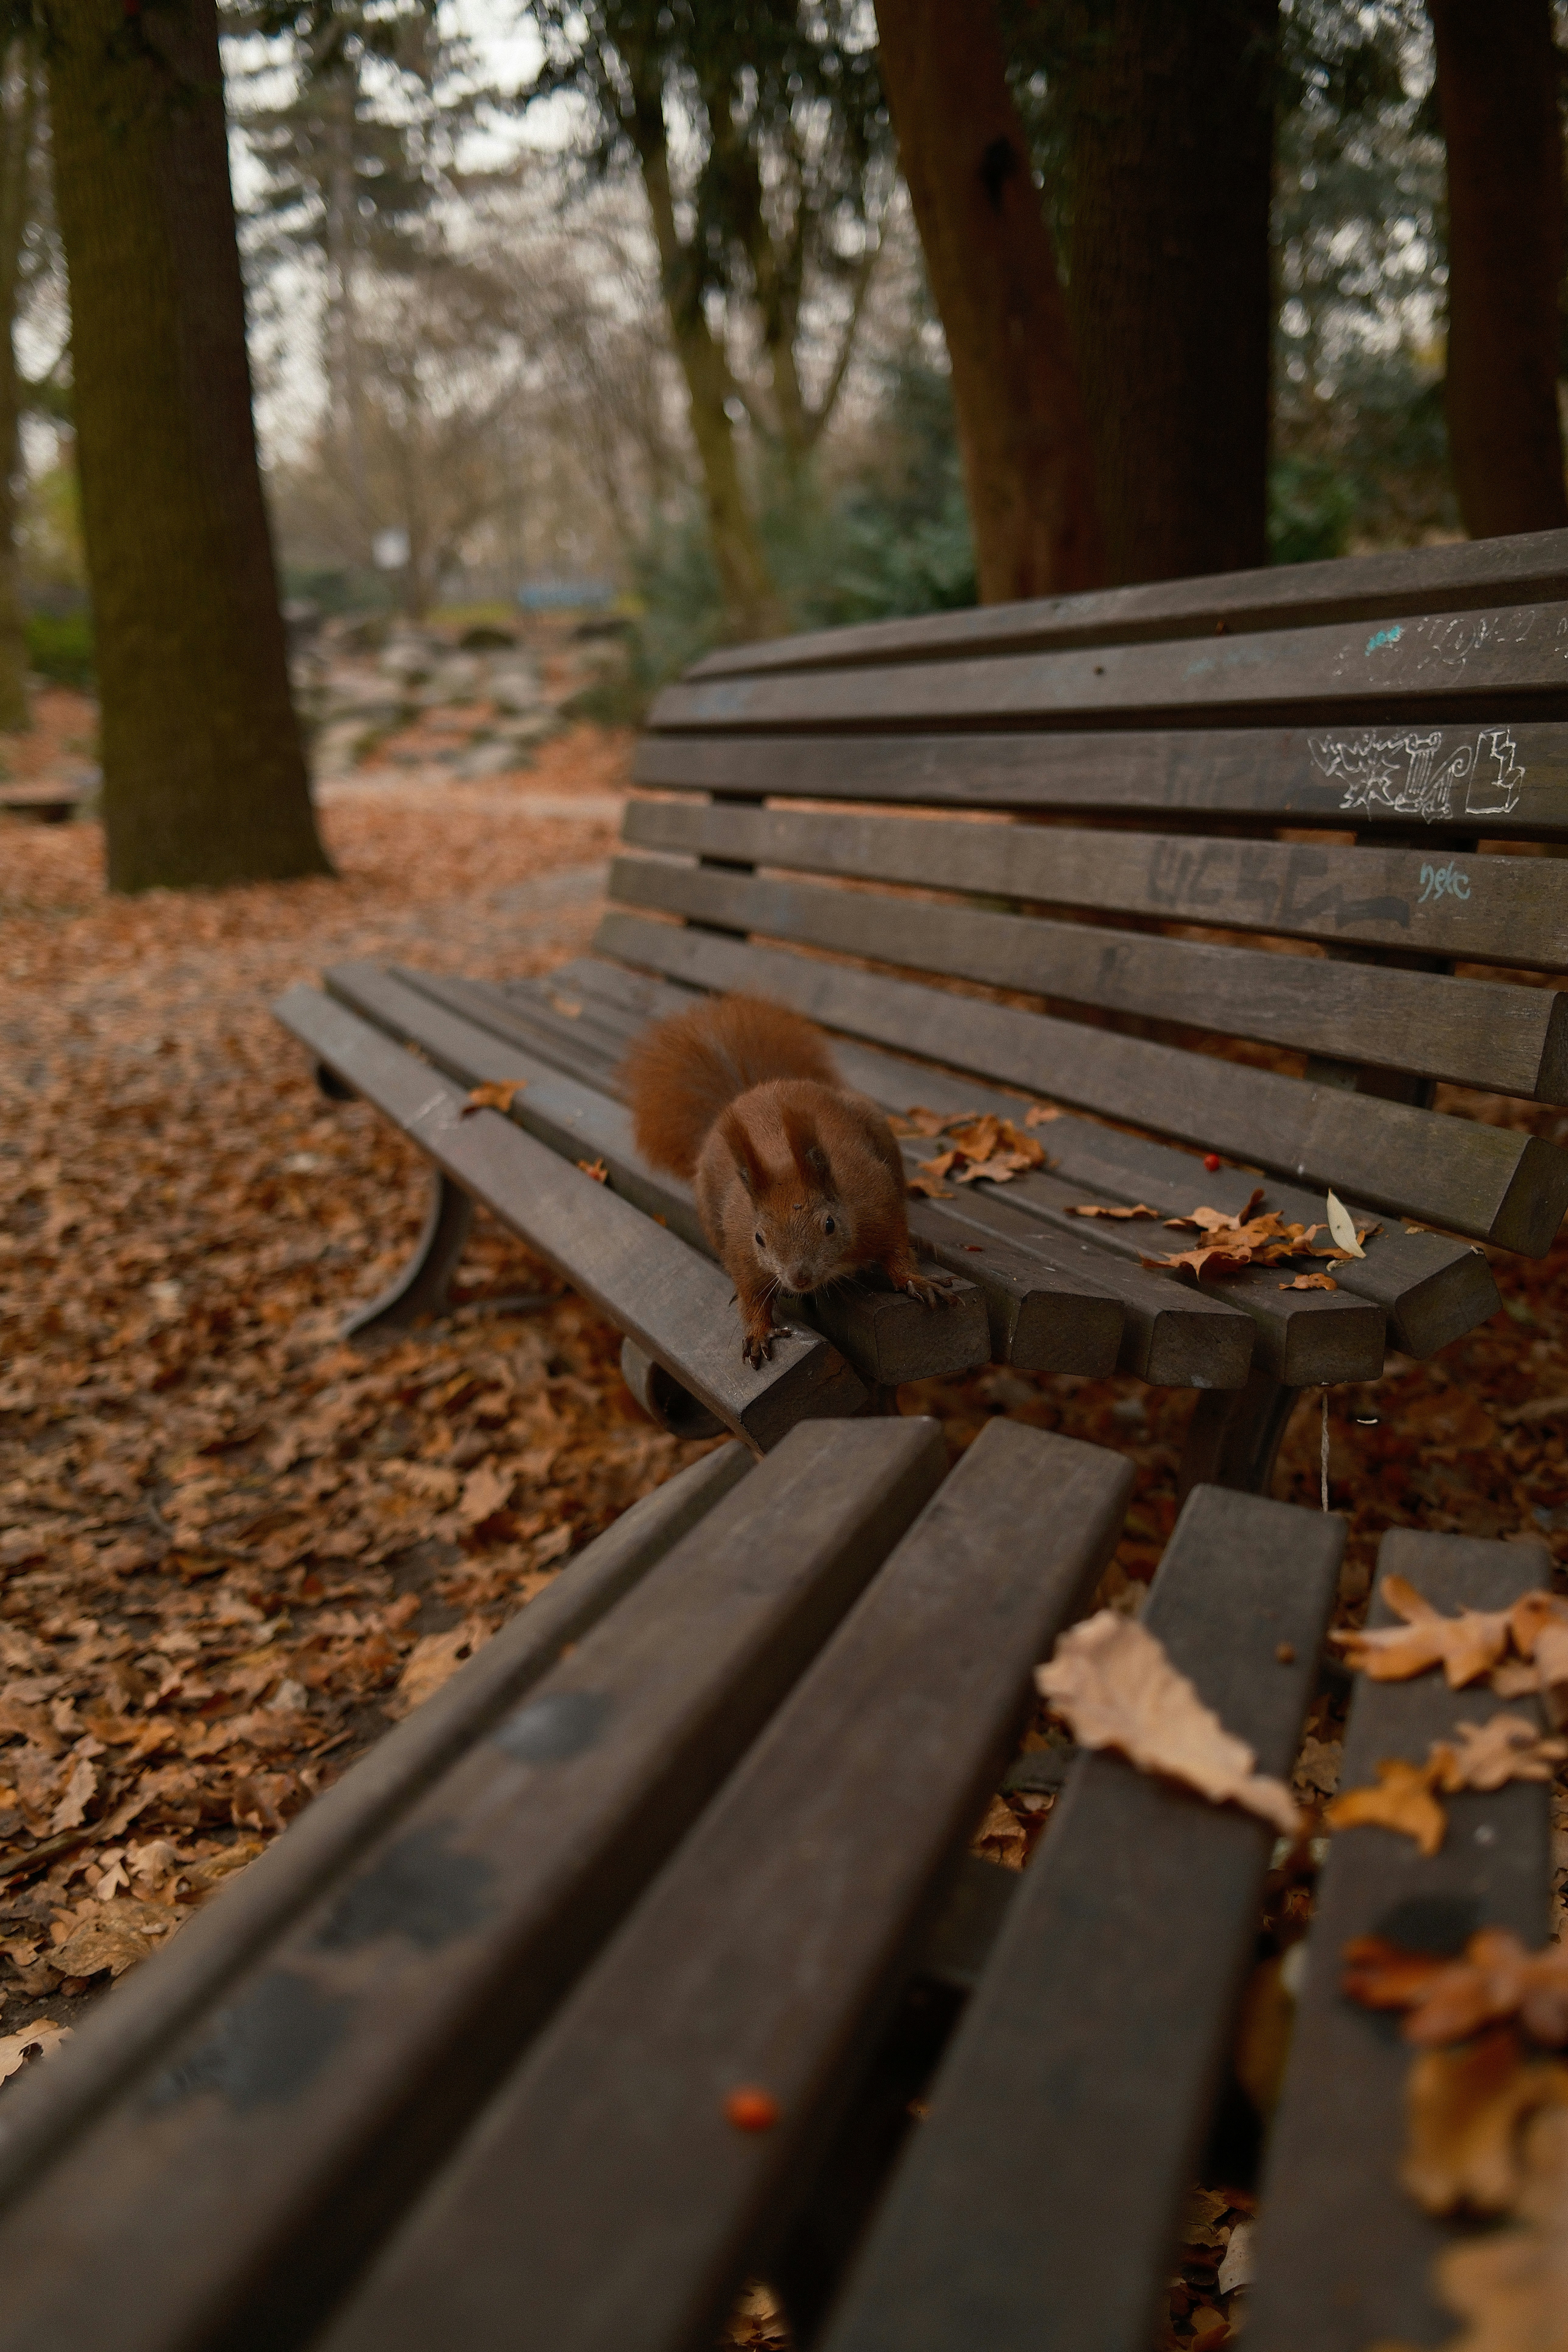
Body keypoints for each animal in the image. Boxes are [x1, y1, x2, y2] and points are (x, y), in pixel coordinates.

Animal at [622, 991, 954, 1367]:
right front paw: (757, 1330)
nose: (799, 1278)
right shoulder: (743, 1248)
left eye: (829, 1225)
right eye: (759, 1238)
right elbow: (751, 1291)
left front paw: (916, 1280)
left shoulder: (877, 1202)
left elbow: (897, 1247)